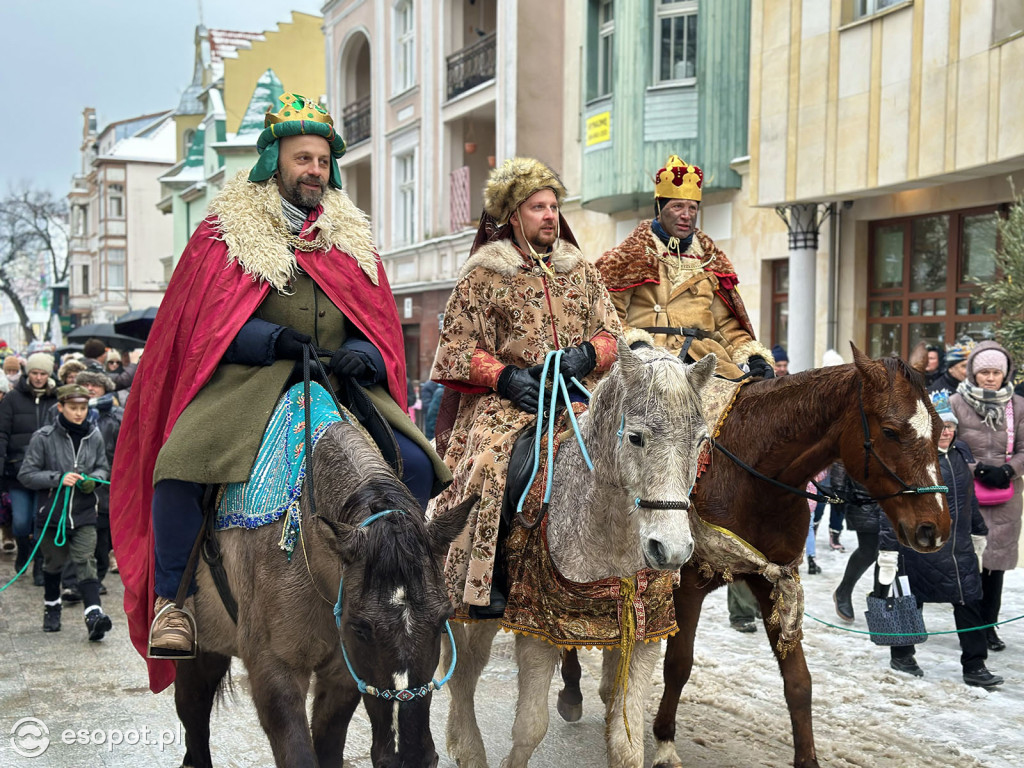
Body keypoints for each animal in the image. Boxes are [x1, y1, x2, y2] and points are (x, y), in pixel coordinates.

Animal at [444, 342, 716, 768]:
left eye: (702, 441)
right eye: (636, 437)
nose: (671, 549)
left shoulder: (644, 637)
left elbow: (627, 744)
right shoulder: (536, 629)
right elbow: (529, 728)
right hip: (465, 596)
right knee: (462, 671)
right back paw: (468, 749)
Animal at [561, 348, 950, 768]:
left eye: (940, 429)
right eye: (891, 431)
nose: (934, 528)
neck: (753, 478)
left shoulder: (773, 578)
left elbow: (799, 682)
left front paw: (807, 759)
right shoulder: (688, 585)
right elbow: (678, 666)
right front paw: (664, 742)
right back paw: (572, 691)